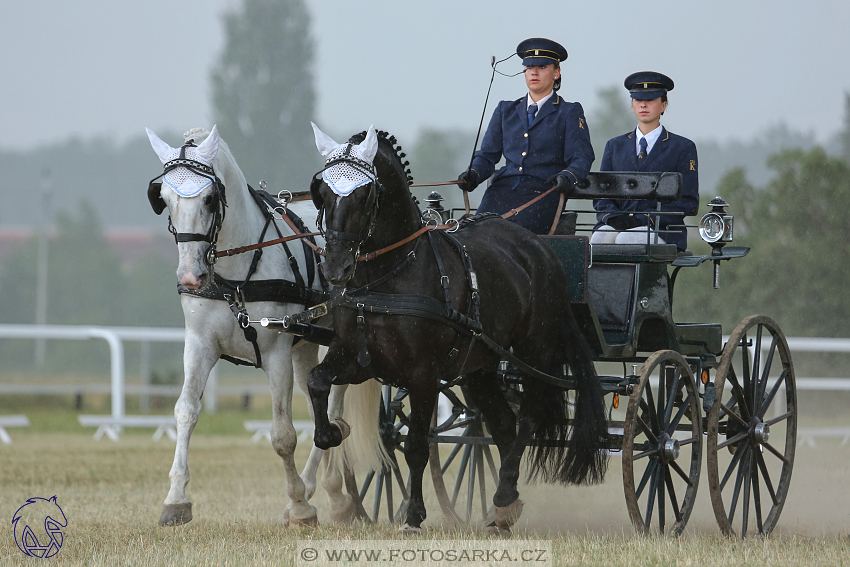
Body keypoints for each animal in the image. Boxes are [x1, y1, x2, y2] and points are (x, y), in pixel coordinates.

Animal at [147, 126, 384, 524]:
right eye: (163, 198)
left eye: (209, 199)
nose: (191, 276)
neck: (236, 275)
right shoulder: (199, 344)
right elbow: (185, 411)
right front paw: (176, 500)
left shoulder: (276, 354)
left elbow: (283, 435)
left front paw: (300, 506)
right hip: (306, 348)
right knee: (323, 414)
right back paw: (339, 495)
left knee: (333, 414)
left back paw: (330, 494)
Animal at [304, 125, 604, 536]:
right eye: (322, 192)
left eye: (366, 195)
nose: (335, 267)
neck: (388, 275)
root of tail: (540, 248)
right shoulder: (358, 358)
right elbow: (317, 381)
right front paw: (334, 431)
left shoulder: (423, 375)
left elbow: (416, 445)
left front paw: (413, 516)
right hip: (480, 367)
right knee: (504, 425)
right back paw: (504, 507)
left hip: (534, 353)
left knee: (528, 418)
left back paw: (503, 497)